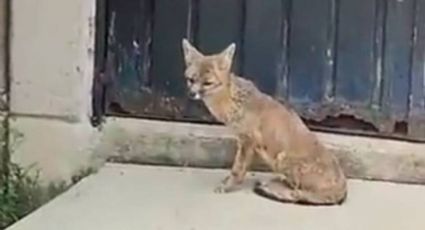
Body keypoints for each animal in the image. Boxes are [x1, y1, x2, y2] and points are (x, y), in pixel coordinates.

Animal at [181, 38, 346, 205]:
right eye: (191, 80)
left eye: (207, 83)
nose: (191, 94)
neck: (232, 100)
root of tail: (342, 188)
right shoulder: (243, 141)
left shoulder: (247, 141)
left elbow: (237, 169)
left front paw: (228, 186)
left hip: (282, 160)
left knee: (298, 193)